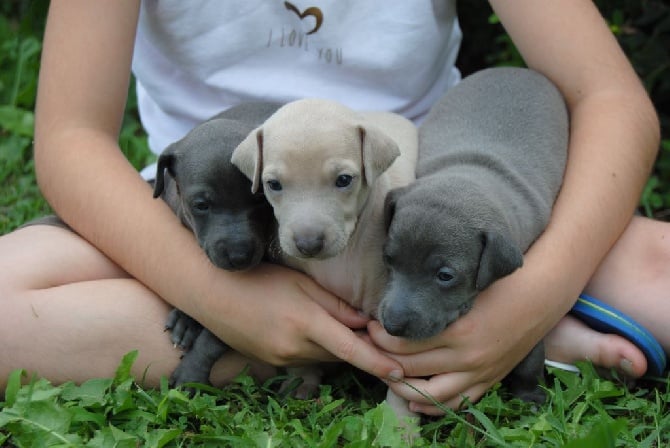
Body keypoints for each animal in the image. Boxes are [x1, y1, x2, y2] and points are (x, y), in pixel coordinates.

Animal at [154, 101, 280, 384]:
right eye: (201, 205)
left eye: (261, 198)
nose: (239, 256)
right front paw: (187, 319)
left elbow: (218, 335)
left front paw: (192, 370)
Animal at [232, 99, 420, 416]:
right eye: (274, 184)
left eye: (344, 180)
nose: (308, 244)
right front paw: (301, 383)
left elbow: (403, 374)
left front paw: (399, 422)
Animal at [380, 68, 568, 404]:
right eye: (389, 259)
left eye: (445, 276)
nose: (392, 324)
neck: (472, 170)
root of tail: (516, 68)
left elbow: (531, 347)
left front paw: (530, 394)